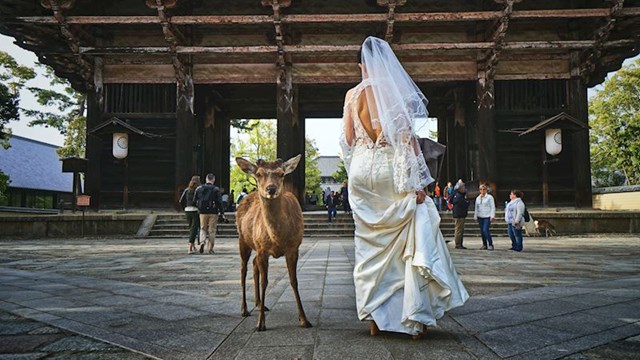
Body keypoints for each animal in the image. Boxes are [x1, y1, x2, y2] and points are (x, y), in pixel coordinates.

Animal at [236, 155, 314, 332]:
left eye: (281, 174)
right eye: (258, 174)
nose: (271, 189)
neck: (277, 237)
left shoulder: (293, 248)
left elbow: (294, 281)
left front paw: (304, 319)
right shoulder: (262, 249)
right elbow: (265, 282)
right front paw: (260, 324)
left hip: (255, 247)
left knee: (254, 264)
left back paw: (260, 304)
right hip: (243, 240)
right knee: (243, 269)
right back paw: (244, 309)